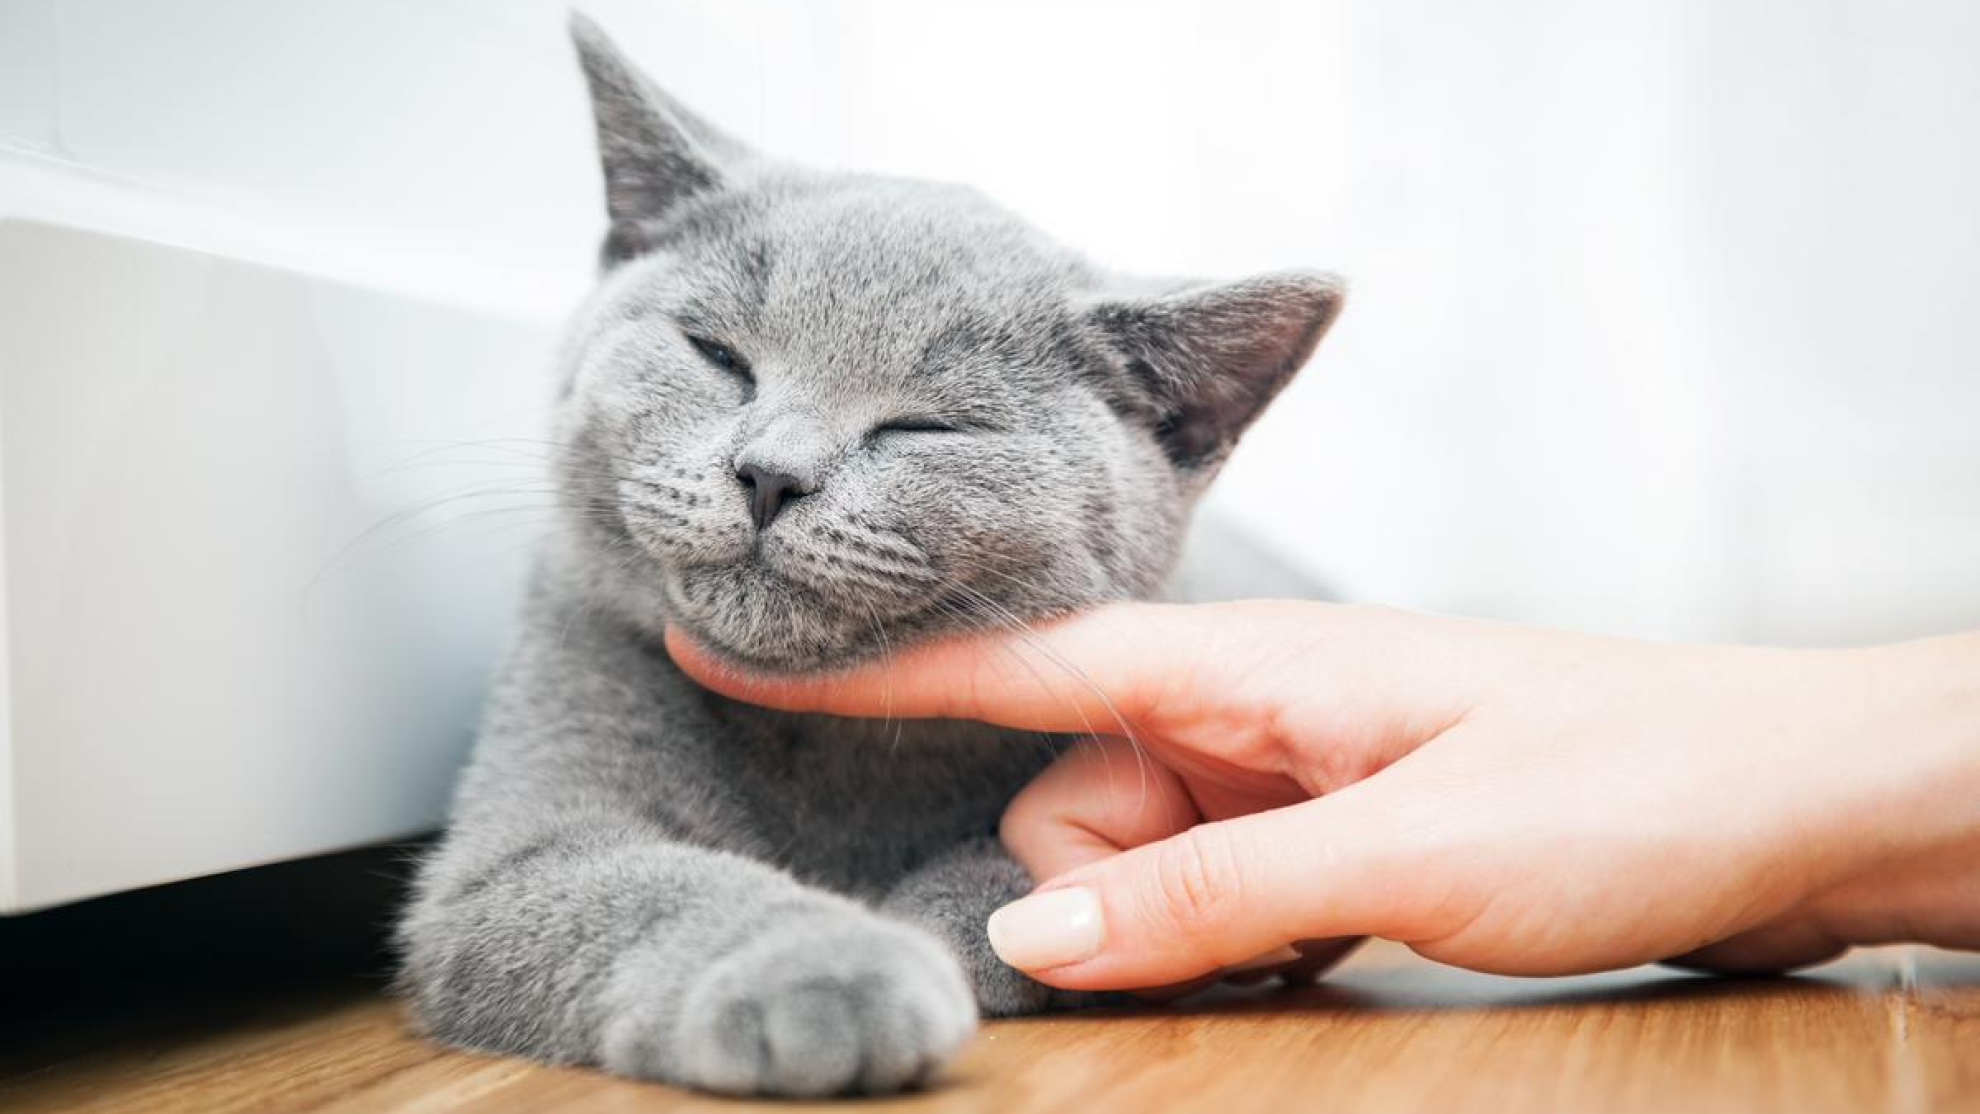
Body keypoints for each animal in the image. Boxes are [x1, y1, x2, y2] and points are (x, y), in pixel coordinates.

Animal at [390, 15, 1346, 1100]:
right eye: (717, 354)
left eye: (923, 427)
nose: (769, 474)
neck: (825, 751)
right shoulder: (518, 843)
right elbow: (646, 885)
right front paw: (827, 968)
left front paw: (967, 919)